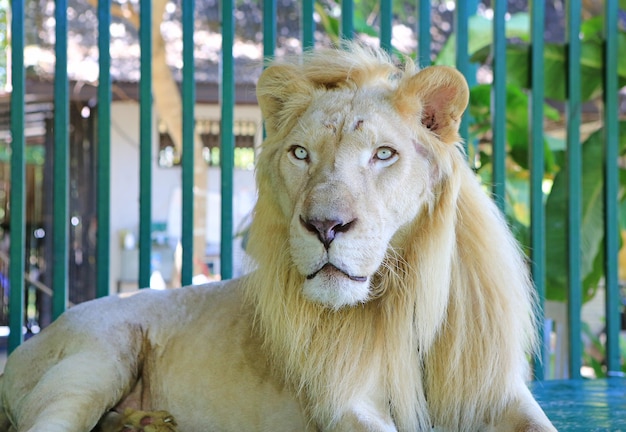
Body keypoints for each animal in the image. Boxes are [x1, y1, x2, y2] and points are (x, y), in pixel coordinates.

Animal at [1, 44, 556, 432]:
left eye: (383, 154)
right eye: (300, 154)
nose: (324, 226)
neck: (406, 297)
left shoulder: (498, 391)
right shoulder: (347, 402)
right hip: (99, 355)